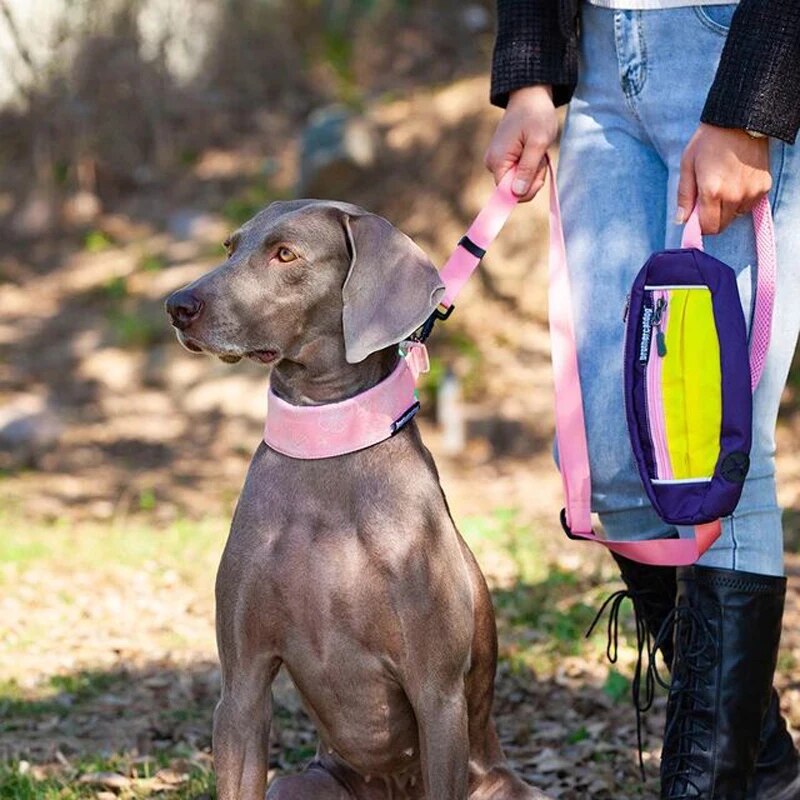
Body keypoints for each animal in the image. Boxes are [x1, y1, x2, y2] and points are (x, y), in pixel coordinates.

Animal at [165, 202, 548, 800]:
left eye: (285, 254)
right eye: (230, 247)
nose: (177, 305)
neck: (327, 445)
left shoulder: (437, 694)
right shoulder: (242, 685)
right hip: (301, 783)